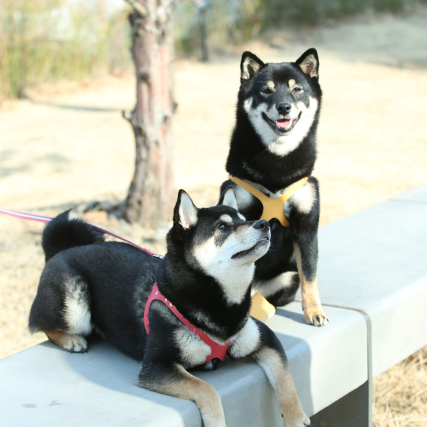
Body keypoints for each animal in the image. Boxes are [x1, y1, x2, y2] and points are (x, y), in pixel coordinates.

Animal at [29, 189, 310, 427]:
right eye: (222, 227)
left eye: (244, 219)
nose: (264, 224)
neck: (221, 302)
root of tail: (65, 249)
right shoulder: (156, 366)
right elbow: (207, 390)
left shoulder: (265, 338)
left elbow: (286, 381)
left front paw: (296, 418)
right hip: (74, 305)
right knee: (43, 325)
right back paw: (71, 340)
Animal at [222, 47, 330, 328]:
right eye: (266, 91)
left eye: (297, 89)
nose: (284, 107)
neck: (277, 165)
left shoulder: (306, 225)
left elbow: (310, 275)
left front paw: (314, 311)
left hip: (286, 278)